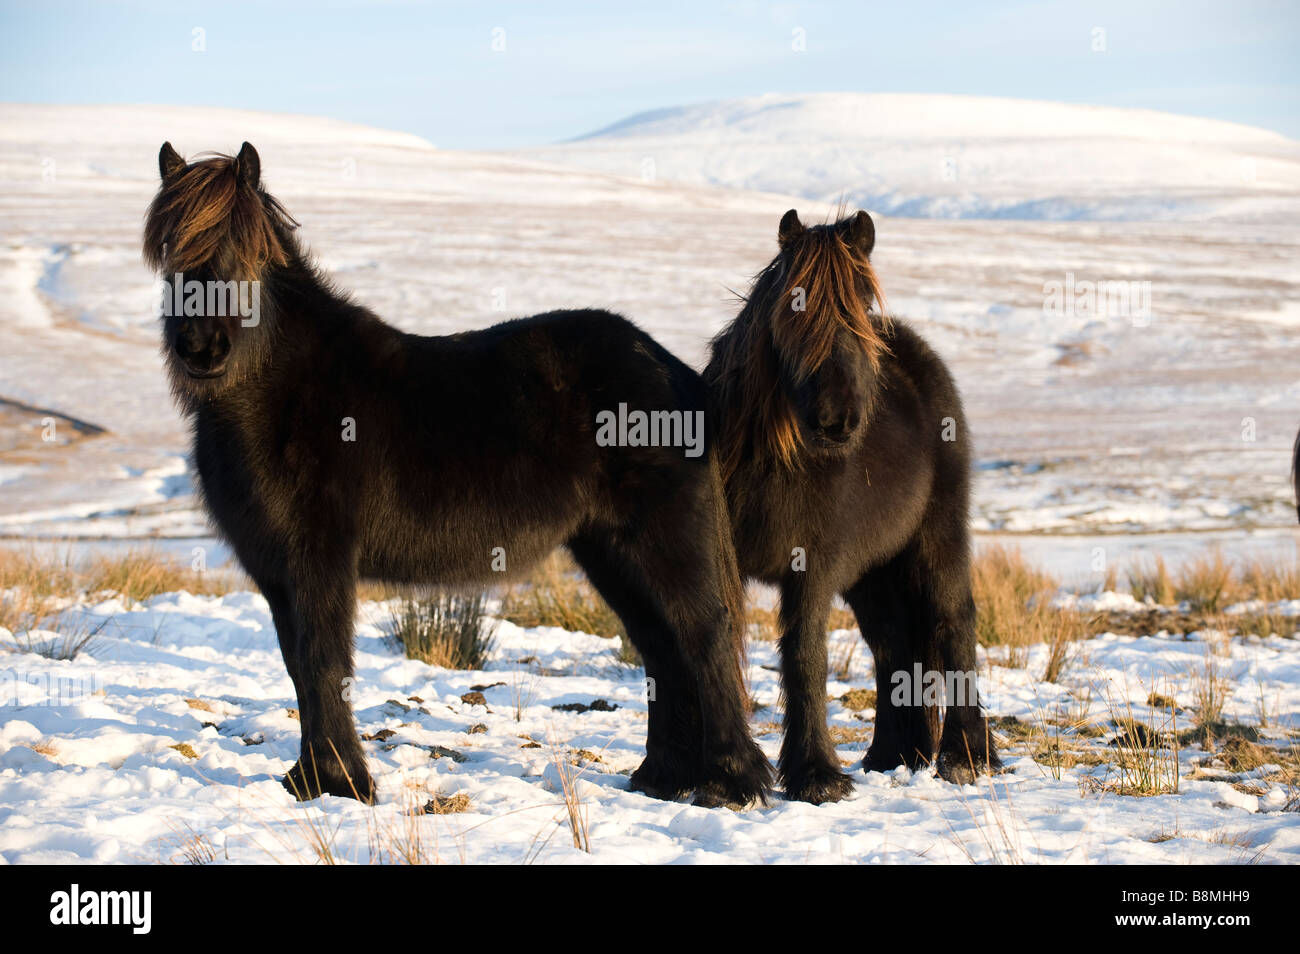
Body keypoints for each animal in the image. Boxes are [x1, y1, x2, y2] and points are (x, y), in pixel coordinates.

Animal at [144, 141, 769, 805]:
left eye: (245, 256)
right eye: (171, 255)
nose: (200, 348)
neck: (281, 393)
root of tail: (673, 371)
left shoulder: (319, 561)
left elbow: (323, 662)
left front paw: (341, 783)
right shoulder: (276, 571)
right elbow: (298, 667)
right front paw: (310, 780)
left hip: (661, 540)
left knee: (702, 637)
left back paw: (731, 782)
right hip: (609, 550)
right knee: (661, 647)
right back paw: (662, 778)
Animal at [707, 210, 998, 805]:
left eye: (862, 304)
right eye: (794, 307)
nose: (837, 420)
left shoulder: (812, 569)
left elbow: (805, 658)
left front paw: (816, 775)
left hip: (938, 539)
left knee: (954, 621)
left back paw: (964, 757)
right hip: (873, 571)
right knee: (894, 646)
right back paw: (893, 755)